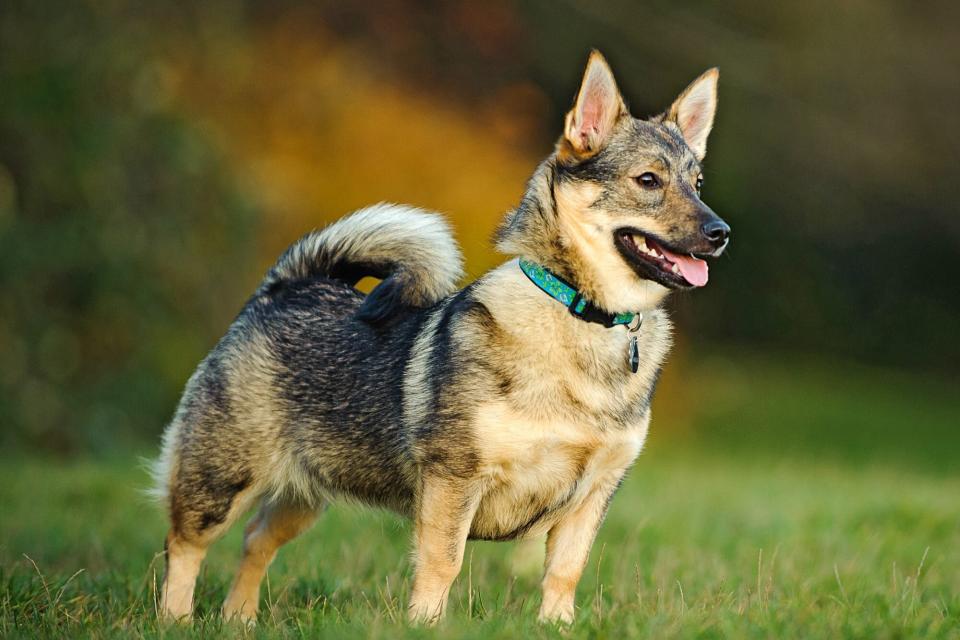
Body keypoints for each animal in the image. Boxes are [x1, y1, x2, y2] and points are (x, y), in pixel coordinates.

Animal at [156, 50, 728, 624]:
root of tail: (286, 286)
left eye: (698, 184)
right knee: (184, 545)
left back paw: (239, 620)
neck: (583, 316)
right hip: (220, 478)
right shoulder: (454, 480)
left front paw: (557, 628)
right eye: (648, 180)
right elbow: (443, 564)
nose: (720, 232)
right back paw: (175, 618)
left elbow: (564, 573)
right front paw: (425, 626)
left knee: (256, 540)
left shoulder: (594, 493)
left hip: (305, 492)